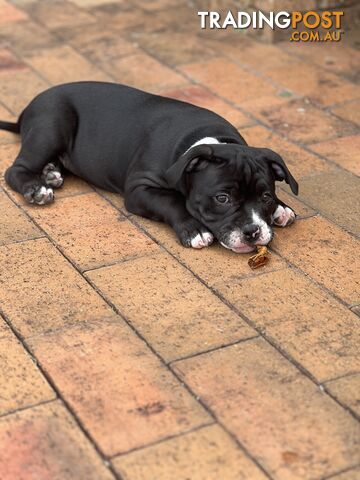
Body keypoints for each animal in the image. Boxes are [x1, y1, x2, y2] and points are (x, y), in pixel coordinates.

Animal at [1, 82, 296, 253]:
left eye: (266, 196)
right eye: (222, 198)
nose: (253, 231)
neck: (205, 140)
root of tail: (27, 108)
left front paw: (281, 208)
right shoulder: (139, 190)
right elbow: (172, 201)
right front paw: (195, 230)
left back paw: (50, 173)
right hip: (52, 125)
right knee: (15, 170)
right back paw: (37, 188)